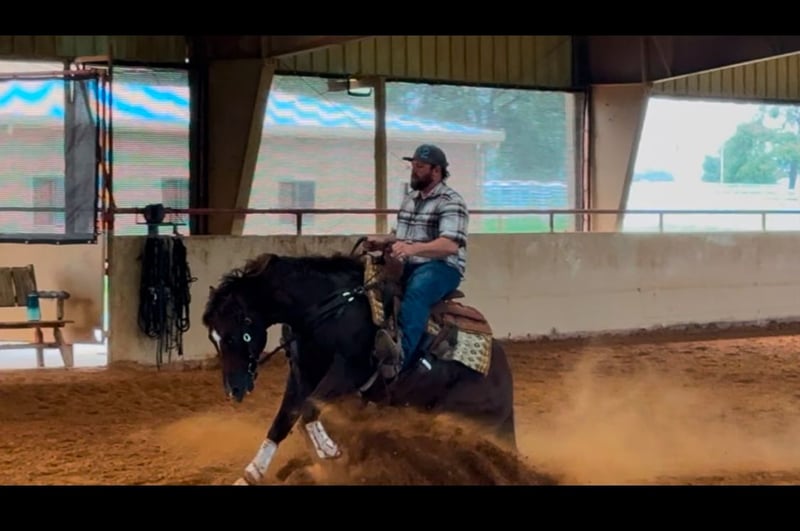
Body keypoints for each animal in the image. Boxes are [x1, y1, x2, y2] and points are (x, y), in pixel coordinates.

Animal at [202, 244, 516, 485]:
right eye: (213, 338)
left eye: (235, 335)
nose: (233, 389)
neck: (326, 308)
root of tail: (503, 376)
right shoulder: (301, 374)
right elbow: (283, 420)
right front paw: (250, 475)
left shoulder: (350, 372)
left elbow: (309, 408)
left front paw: (329, 449)